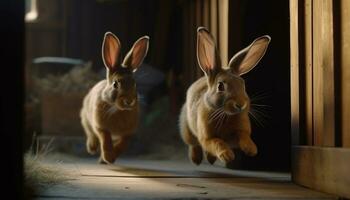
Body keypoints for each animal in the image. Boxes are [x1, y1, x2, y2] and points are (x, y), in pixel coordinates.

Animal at [80, 32, 149, 163]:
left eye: (134, 84)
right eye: (115, 84)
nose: (129, 101)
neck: (117, 109)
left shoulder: (128, 133)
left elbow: (123, 144)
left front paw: (111, 157)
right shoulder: (101, 127)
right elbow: (105, 139)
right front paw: (109, 157)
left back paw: (102, 160)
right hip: (85, 117)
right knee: (90, 133)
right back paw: (92, 148)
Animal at [180, 28, 270, 166]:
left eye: (242, 84)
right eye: (220, 86)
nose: (240, 105)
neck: (226, 115)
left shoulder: (240, 131)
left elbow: (243, 136)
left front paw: (251, 149)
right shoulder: (207, 138)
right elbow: (217, 143)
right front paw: (227, 156)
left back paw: (211, 160)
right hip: (187, 130)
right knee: (193, 145)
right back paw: (196, 160)